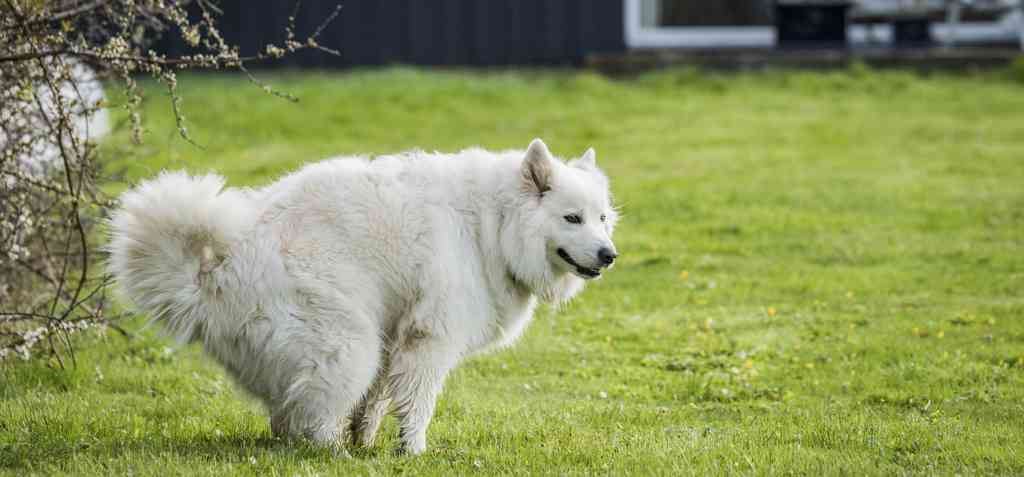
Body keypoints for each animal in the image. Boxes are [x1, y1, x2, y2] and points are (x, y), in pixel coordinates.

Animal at [105, 139, 614, 454]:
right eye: (572, 218)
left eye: (603, 218)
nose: (610, 255)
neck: (489, 225)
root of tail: (214, 272)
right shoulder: (428, 340)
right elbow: (416, 405)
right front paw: (412, 452)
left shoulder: (396, 339)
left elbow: (375, 404)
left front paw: (367, 442)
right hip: (347, 345)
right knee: (313, 425)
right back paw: (334, 457)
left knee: (288, 419)